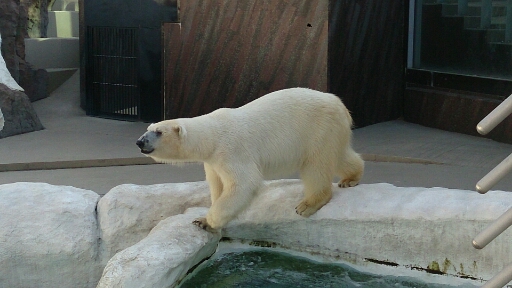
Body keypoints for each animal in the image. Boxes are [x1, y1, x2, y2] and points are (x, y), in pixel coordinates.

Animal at [136, 86, 364, 231]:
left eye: (158, 132)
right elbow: (217, 184)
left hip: (319, 129)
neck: (212, 135)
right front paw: (205, 218)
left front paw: (207, 220)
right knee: (340, 156)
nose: (139, 142)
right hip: (332, 132)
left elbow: (243, 184)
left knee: (316, 165)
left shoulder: (231, 150)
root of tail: (340, 104)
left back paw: (307, 205)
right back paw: (350, 178)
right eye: (148, 128)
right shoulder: (213, 161)